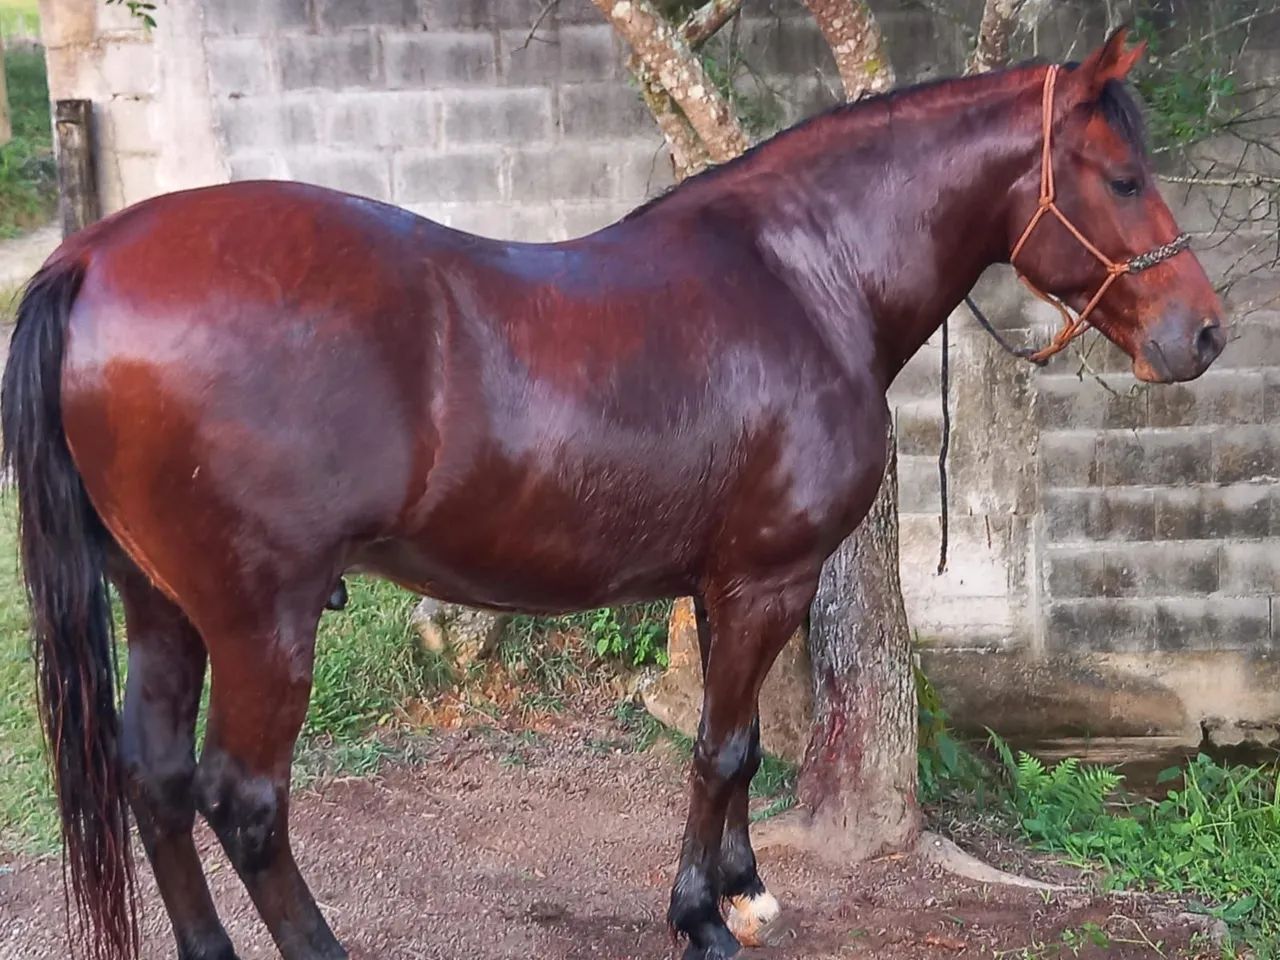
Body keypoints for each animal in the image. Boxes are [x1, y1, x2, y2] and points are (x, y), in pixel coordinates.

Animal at [1, 27, 1225, 960]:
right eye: (1122, 177)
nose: (1204, 334)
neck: (802, 277)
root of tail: (92, 256)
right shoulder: (766, 579)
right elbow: (720, 750)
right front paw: (701, 919)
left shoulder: (722, 583)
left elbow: (736, 743)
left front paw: (741, 888)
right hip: (264, 622)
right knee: (244, 804)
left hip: (163, 606)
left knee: (154, 781)